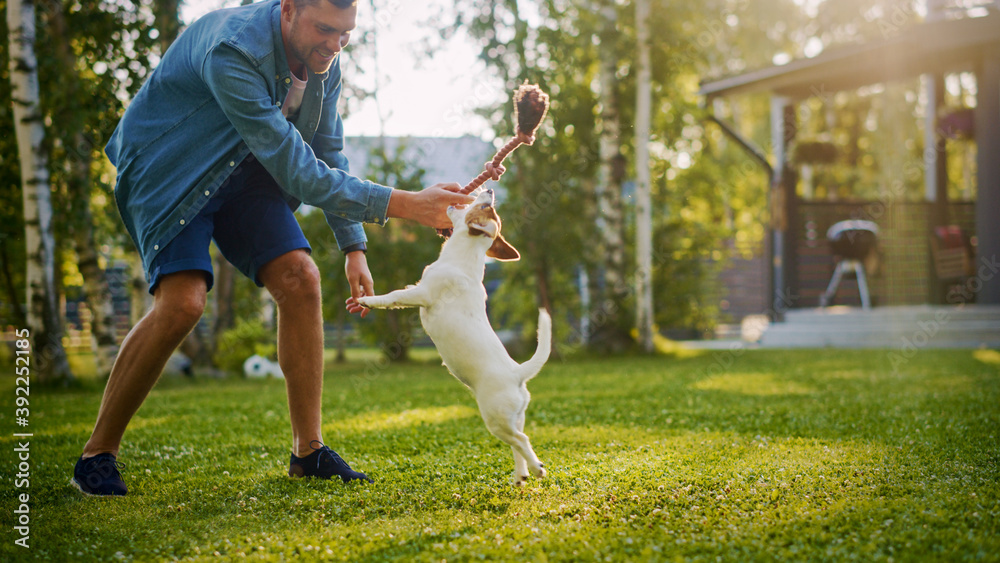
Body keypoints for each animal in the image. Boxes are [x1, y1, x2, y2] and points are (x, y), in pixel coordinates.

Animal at [356, 189, 552, 484]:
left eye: (483, 207)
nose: (490, 190)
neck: (464, 256)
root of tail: (517, 373)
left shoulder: (421, 294)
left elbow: (393, 297)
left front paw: (368, 300)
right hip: (513, 418)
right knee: (517, 443)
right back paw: (521, 475)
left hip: (495, 419)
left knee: (522, 440)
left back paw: (537, 467)